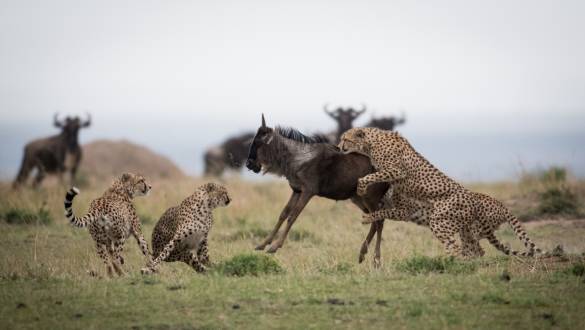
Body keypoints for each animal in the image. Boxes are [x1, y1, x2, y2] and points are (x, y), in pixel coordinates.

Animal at [340, 127, 540, 258]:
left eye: (346, 139)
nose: (340, 147)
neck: (372, 141)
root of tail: (503, 206)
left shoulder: (397, 173)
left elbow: (373, 180)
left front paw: (362, 192)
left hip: (441, 221)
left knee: (459, 249)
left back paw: (451, 263)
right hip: (465, 230)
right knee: (474, 250)